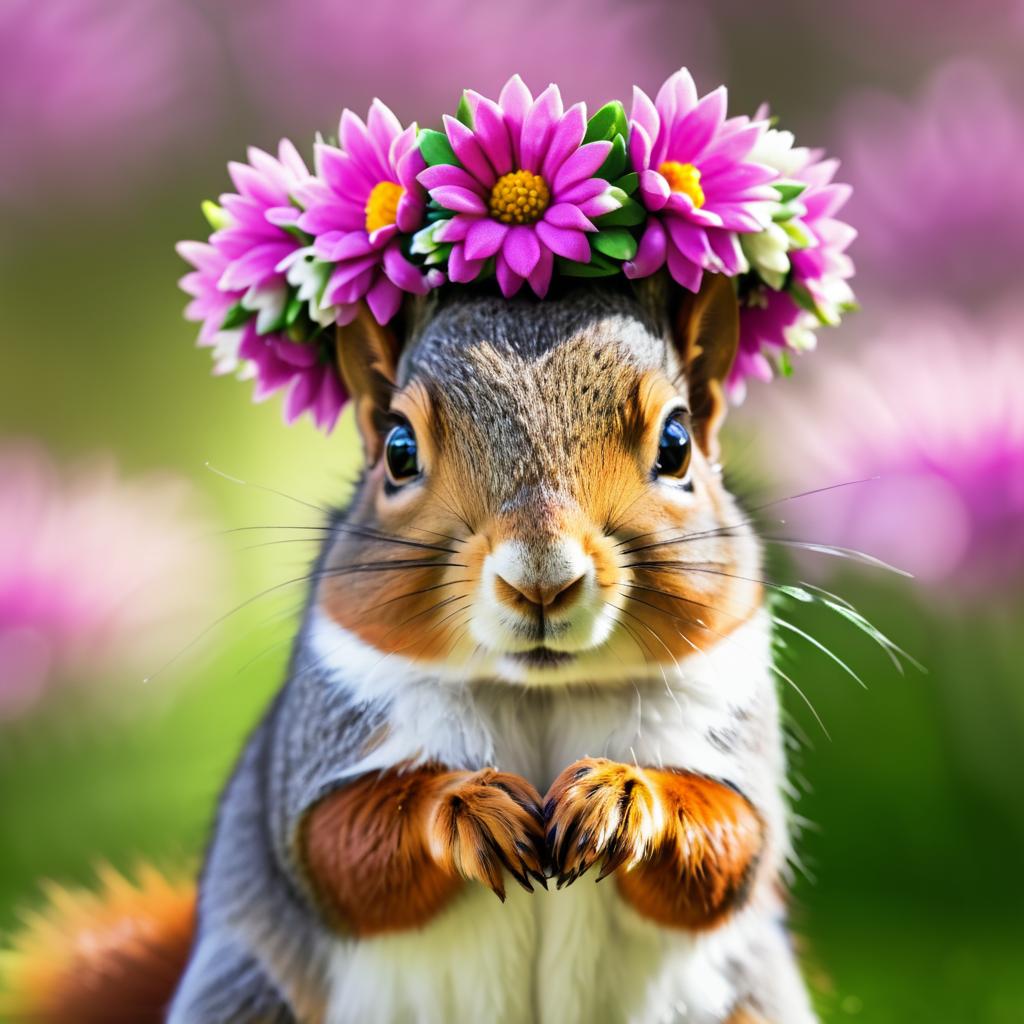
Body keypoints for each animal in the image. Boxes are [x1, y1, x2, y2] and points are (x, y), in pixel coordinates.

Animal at [0, 274, 815, 1024]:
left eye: (677, 445)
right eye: (398, 450)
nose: (542, 579)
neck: (538, 695)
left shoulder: (728, 719)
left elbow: (731, 846)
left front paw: (621, 795)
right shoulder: (328, 733)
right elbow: (340, 849)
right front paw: (466, 807)